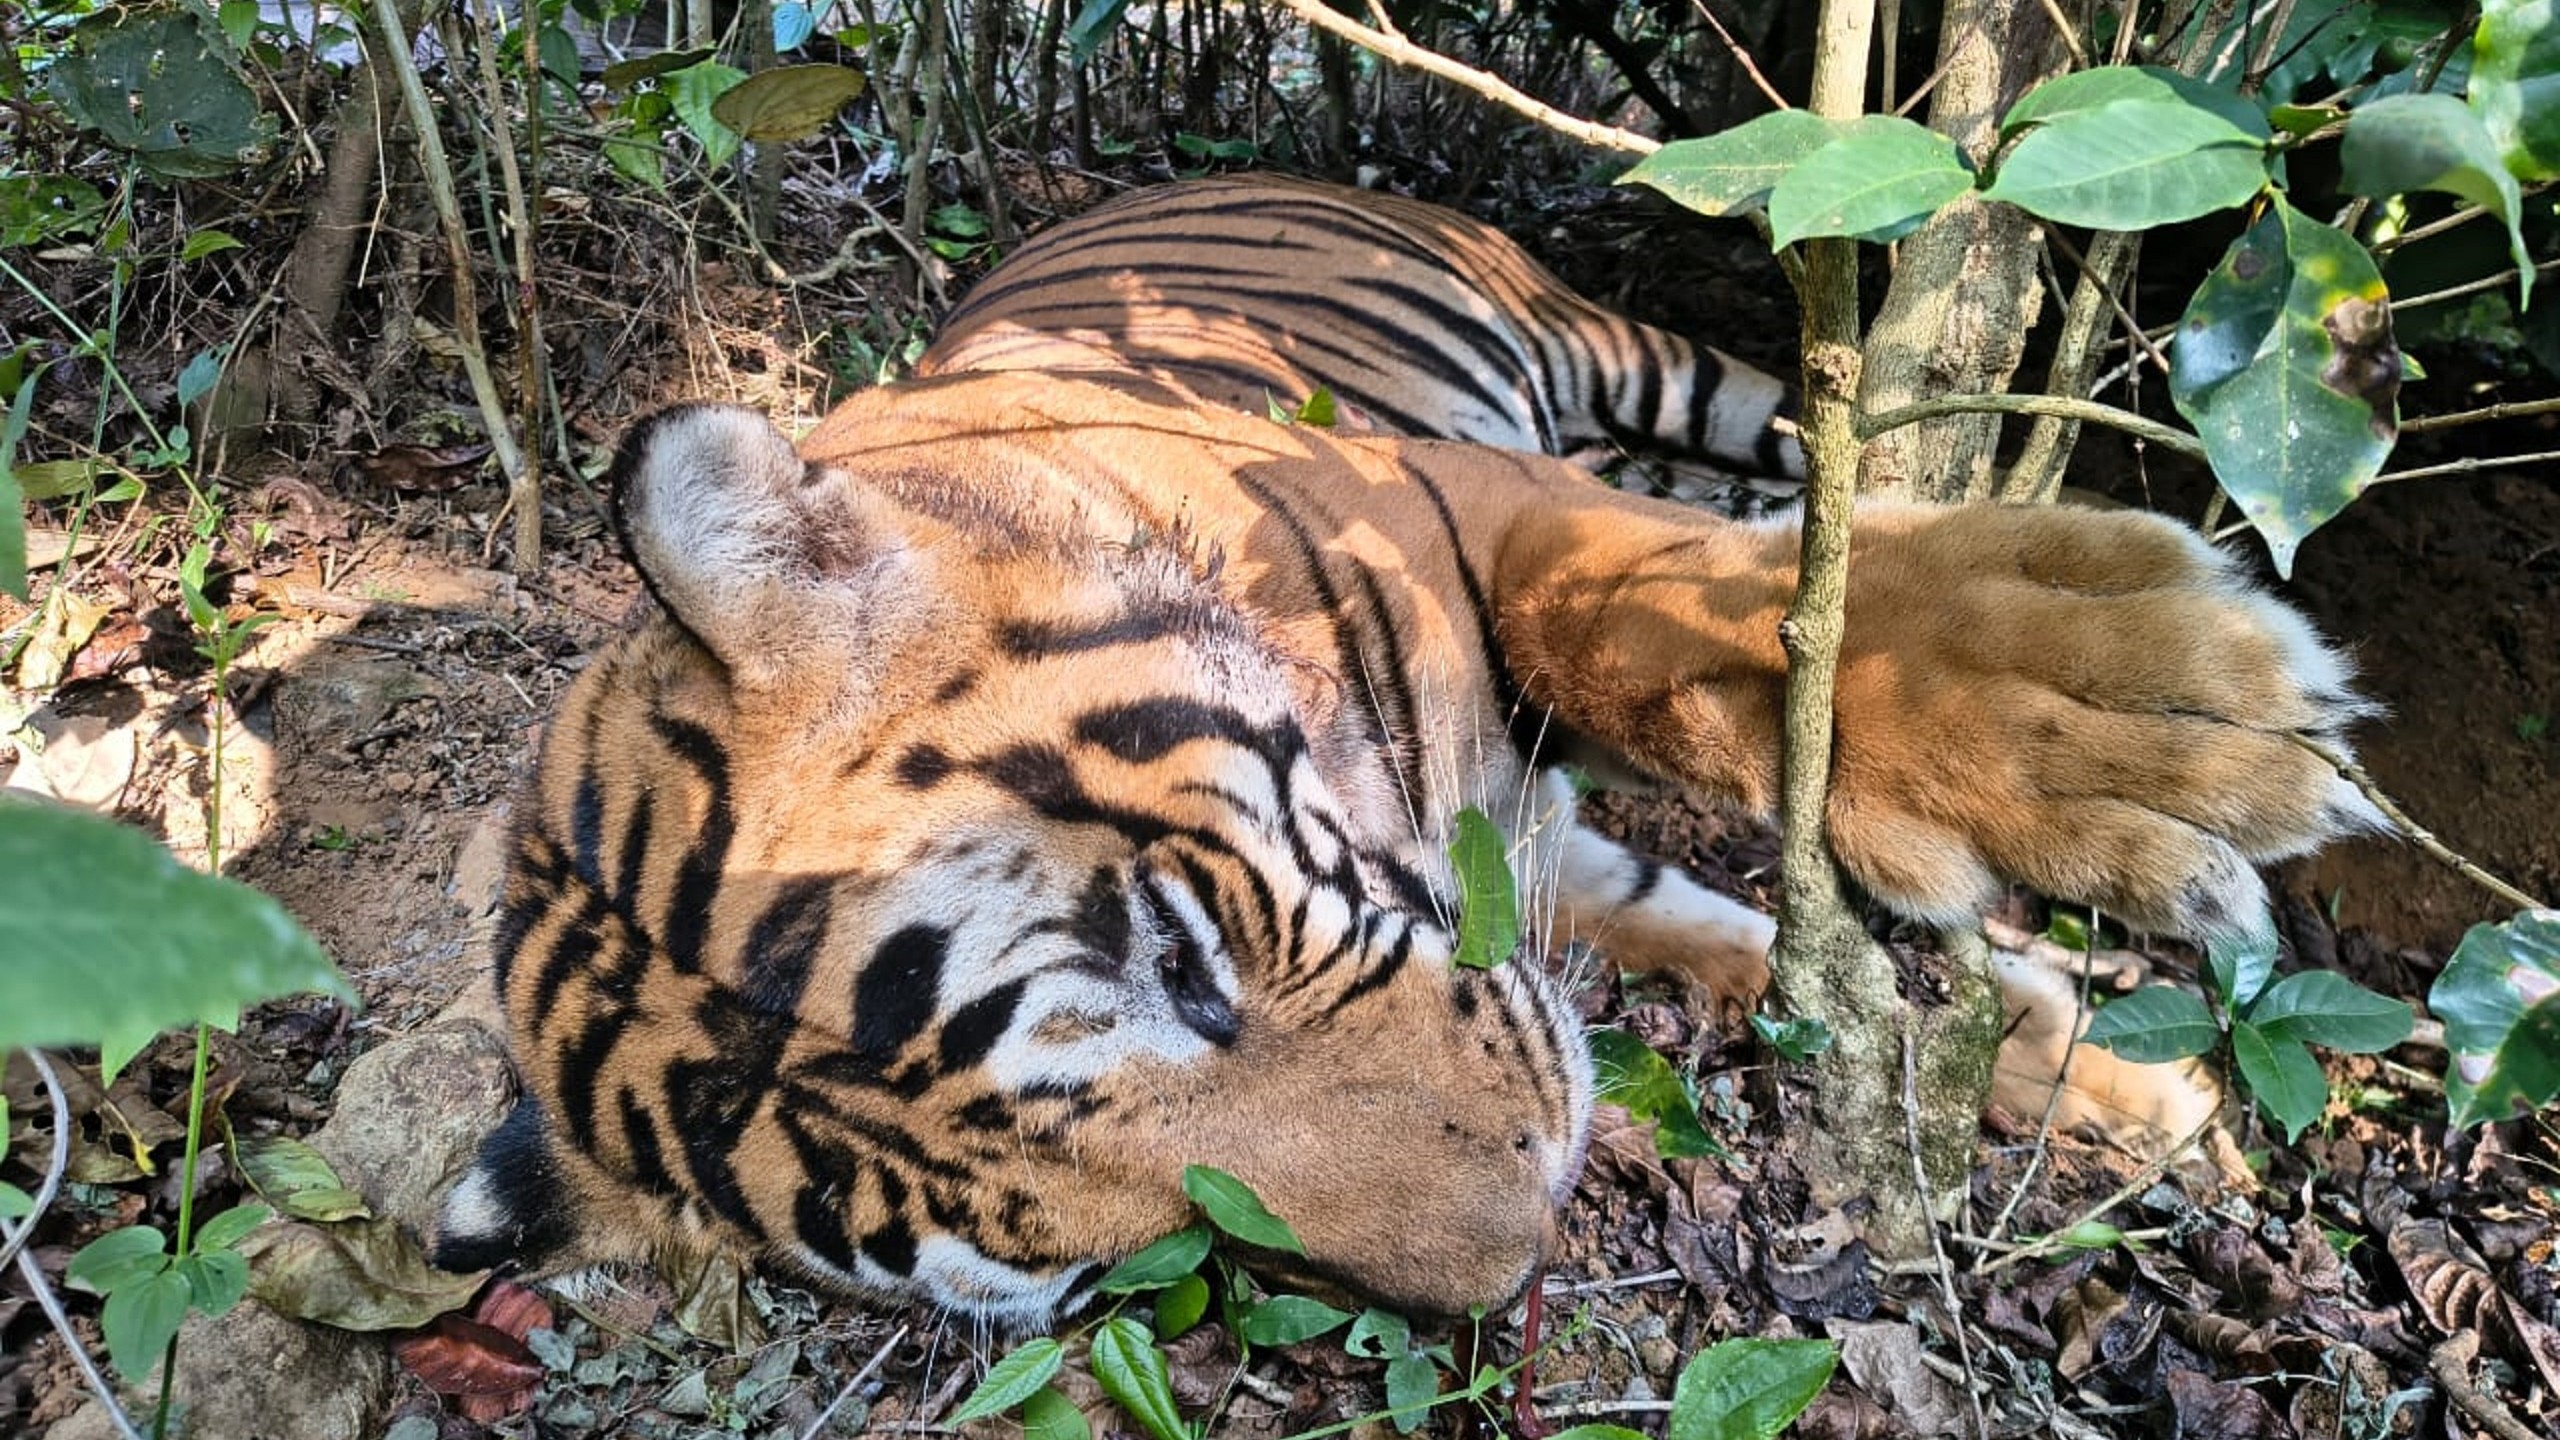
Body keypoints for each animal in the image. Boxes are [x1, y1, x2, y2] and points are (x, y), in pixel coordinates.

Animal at [431, 180, 2375, 1326]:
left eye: (1178, 961)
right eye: (1108, 1255)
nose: (1528, 1248)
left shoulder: (1463, 496)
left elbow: (1645, 616)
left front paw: (2153, 723)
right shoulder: (1542, 862)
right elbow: (1753, 948)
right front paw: (2119, 1079)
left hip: (1623, 354)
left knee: (1773, 441)